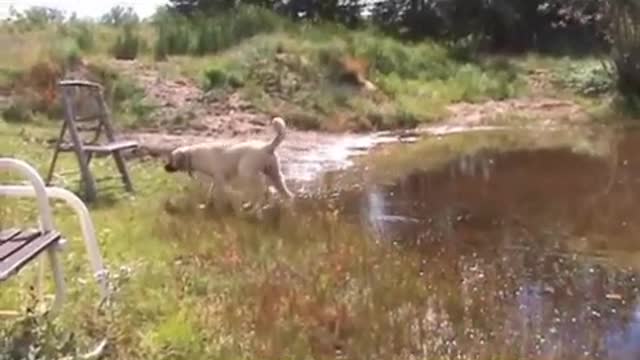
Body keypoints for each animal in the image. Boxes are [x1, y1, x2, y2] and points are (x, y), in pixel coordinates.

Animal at [165, 116, 296, 212]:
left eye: (171, 159)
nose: (164, 167)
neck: (193, 155)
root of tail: (267, 147)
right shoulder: (217, 180)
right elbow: (210, 194)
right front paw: (204, 206)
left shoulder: (221, 180)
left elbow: (229, 195)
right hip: (275, 175)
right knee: (283, 194)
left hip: (247, 173)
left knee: (264, 192)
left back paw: (253, 208)